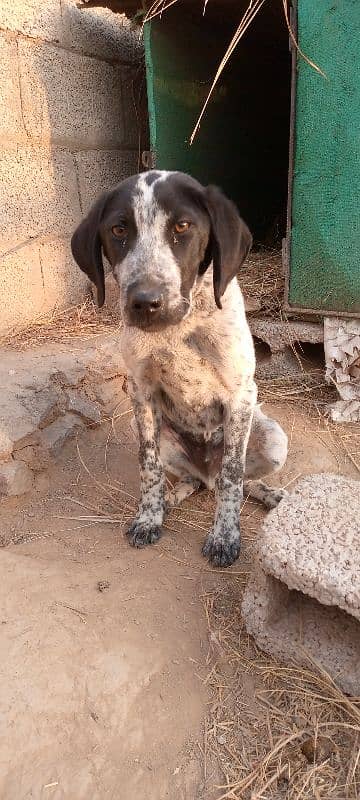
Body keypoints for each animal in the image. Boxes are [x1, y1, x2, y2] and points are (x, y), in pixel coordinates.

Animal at [71, 171, 288, 564]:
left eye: (183, 226)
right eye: (119, 229)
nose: (145, 302)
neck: (177, 329)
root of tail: (206, 471)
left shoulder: (241, 395)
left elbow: (234, 475)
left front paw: (225, 536)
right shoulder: (141, 393)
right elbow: (149, 466)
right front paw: (149, 517)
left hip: (273, 438)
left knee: (232, 480)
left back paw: (268, 494)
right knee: (195, 481)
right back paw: (172, 498)